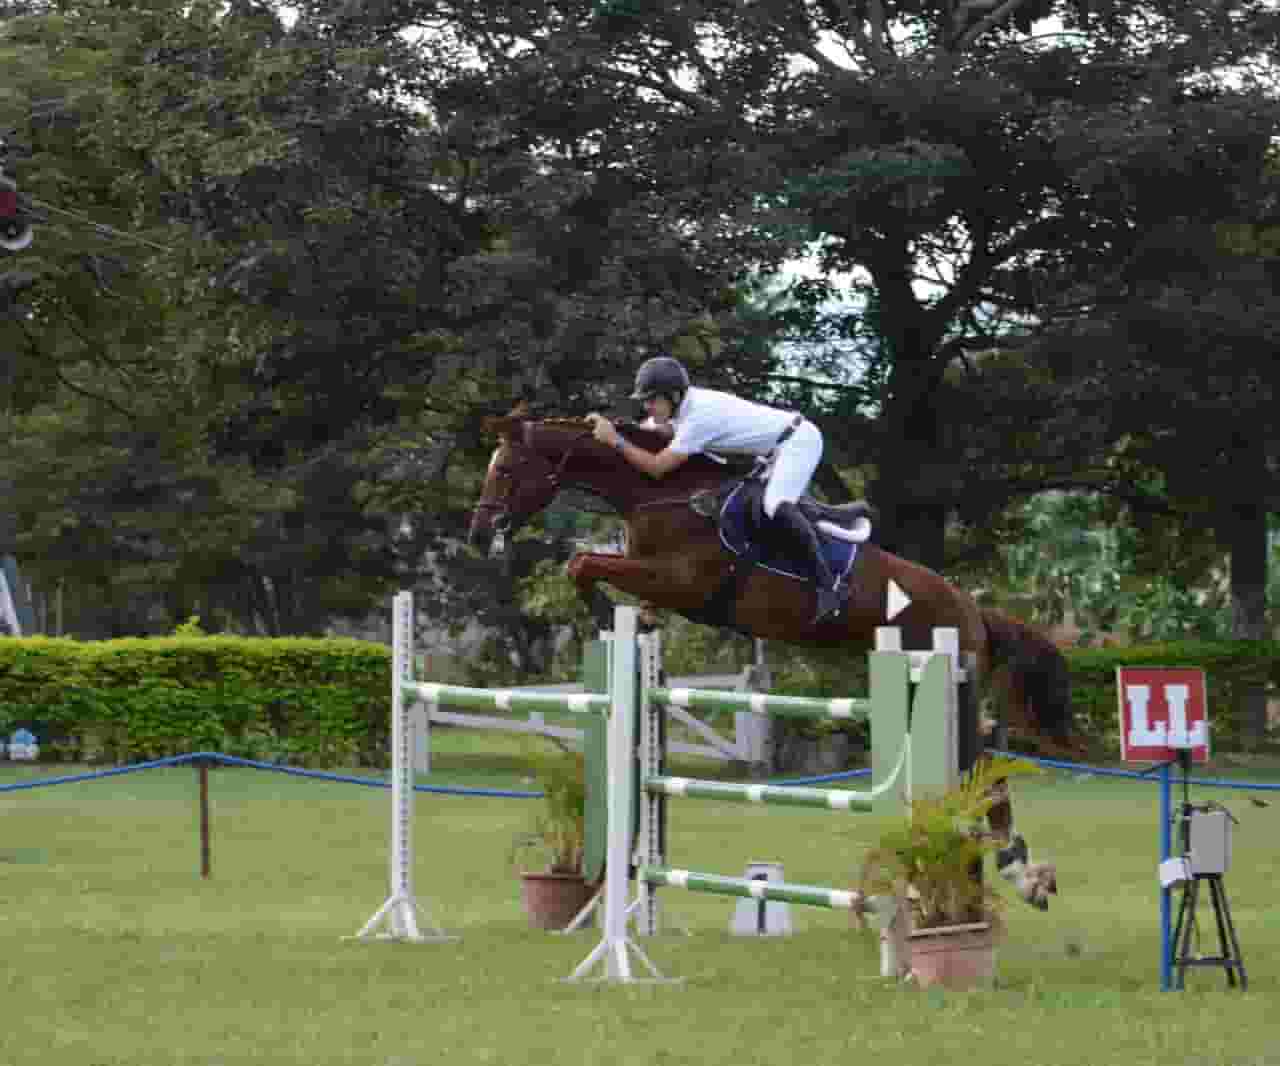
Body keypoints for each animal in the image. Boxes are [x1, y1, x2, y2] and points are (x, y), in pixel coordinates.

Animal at [465, 406, 1064, 906]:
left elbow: (582, 563)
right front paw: (632, 621)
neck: (660, 493)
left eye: (506, 470)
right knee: (979, 768)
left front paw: (610, 614)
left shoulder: (680, 580)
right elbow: (587, 564)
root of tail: (973, 609)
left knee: (986, 769)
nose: (477, 533)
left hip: (947, 683)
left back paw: (1020, 871)